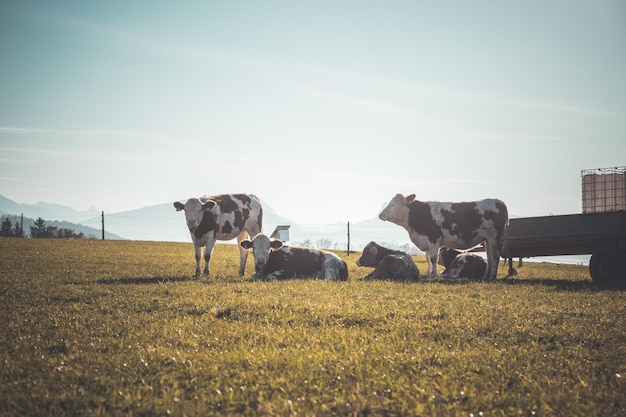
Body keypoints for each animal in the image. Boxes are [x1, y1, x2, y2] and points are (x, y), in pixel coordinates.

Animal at [376, 194, 508, 280]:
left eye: (393, 205)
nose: (380, 215)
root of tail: (499, 202)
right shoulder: (427, 241)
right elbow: (428, 259)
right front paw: (428, 274)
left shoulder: (434, 239)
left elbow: (434, 258)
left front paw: (434, 275)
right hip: (487, 240)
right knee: (490, 257)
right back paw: (486, 276)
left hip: (494, 237)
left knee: (495, 256)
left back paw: (492, 276)